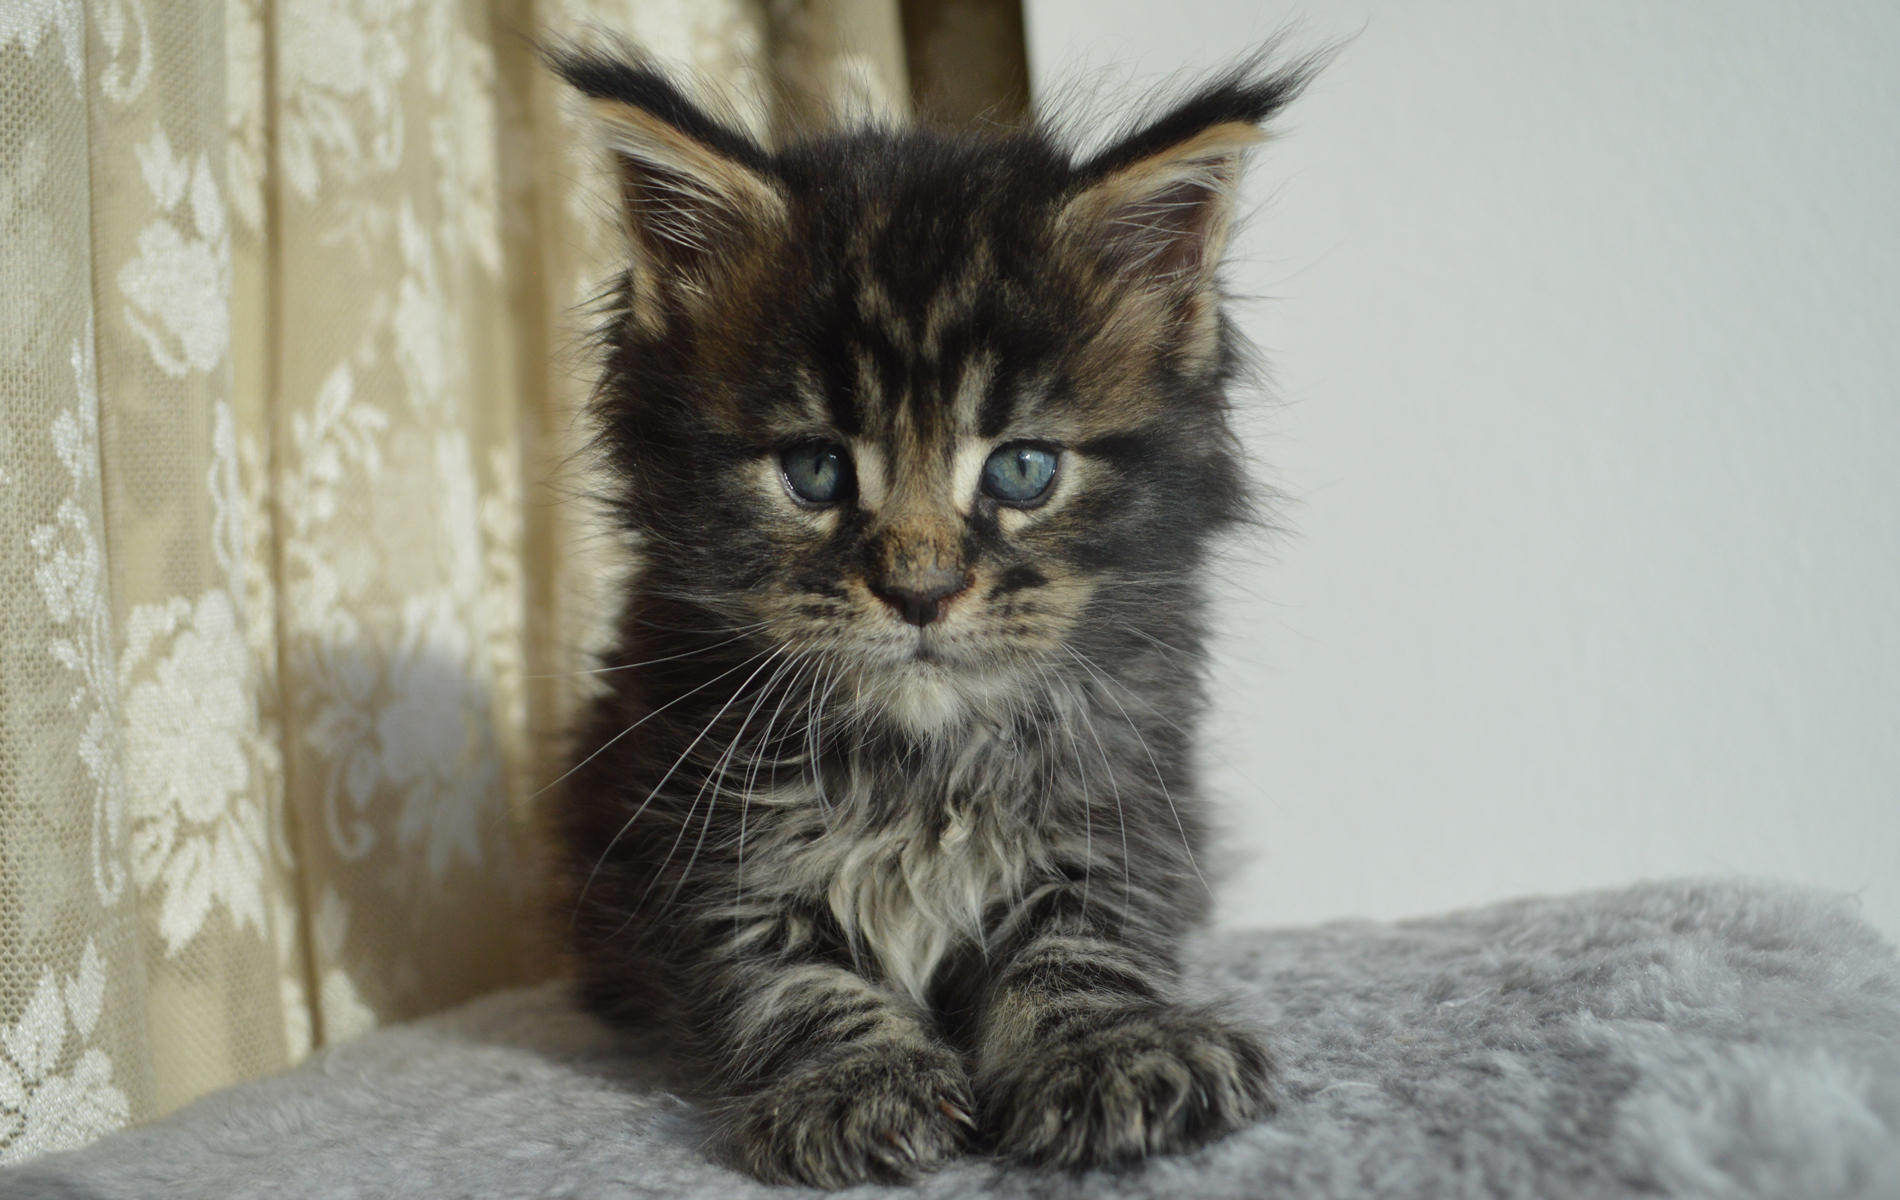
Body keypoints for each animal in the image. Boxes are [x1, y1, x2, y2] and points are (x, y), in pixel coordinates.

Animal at [551, 49, 1314, 1192]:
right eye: (816, 470)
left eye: (1023, 469)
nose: (921, 589)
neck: (923, 761)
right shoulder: (689, 837)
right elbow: (785, 980)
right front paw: (855, 1081)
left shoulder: (1122, 810)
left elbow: (1077, 950)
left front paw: (1111, 1049)